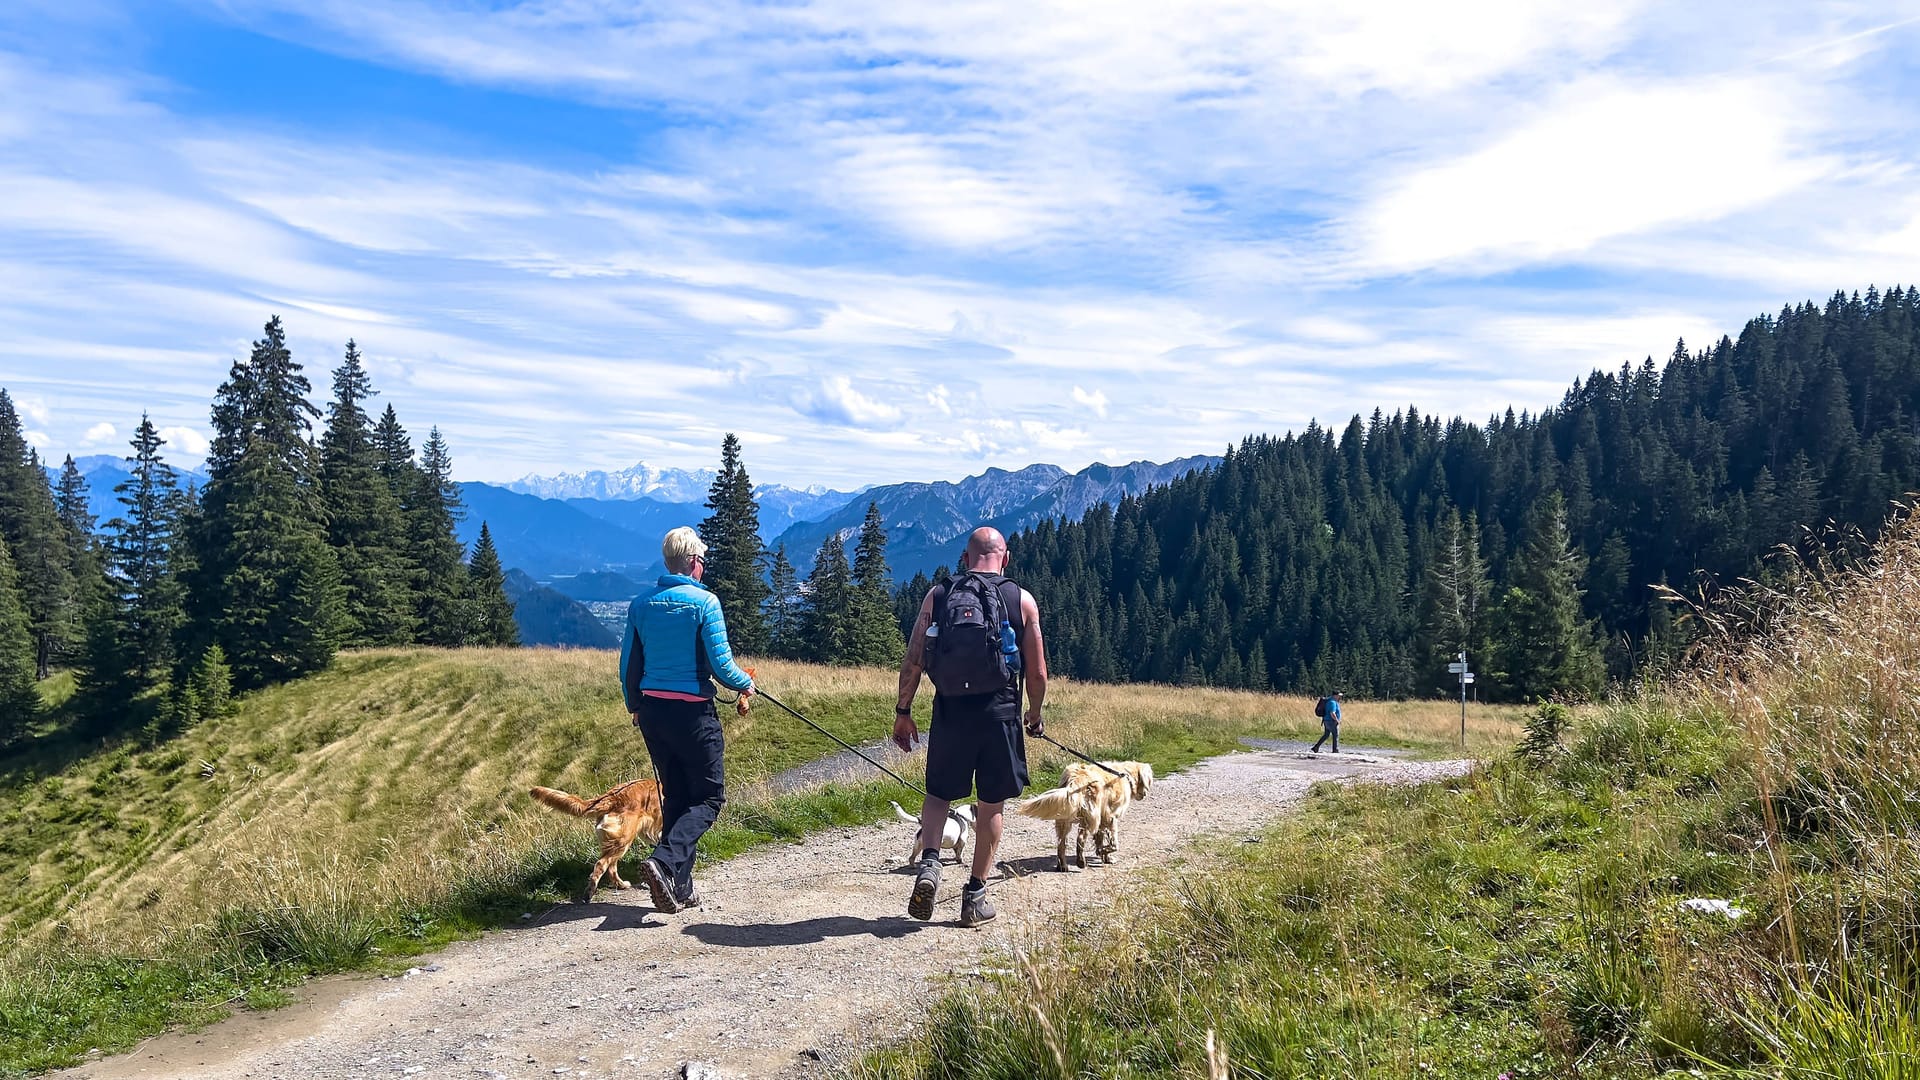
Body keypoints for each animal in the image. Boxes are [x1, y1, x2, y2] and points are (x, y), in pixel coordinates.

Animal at [529, 776, 664, 895]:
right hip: (624, 839)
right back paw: (590, 891)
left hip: (616, 842)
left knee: (610, 867)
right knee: (602, 864)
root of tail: (612, 797)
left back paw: (620, 885)